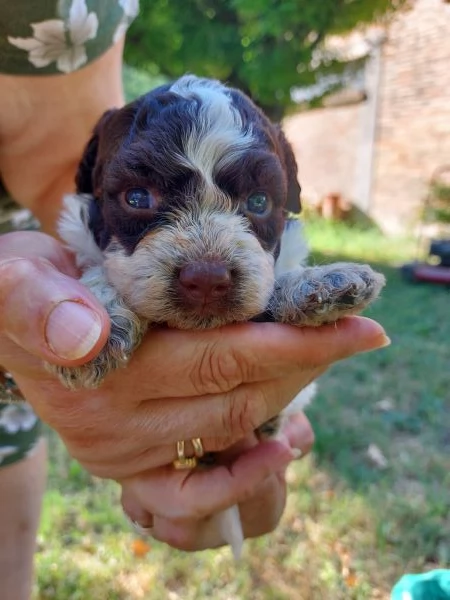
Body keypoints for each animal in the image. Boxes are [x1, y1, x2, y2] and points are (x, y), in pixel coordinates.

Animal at [50, 75, 386, 556]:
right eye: (137, 197)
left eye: (259, 202)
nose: (207, 278)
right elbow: (96, 272)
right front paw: (105, 321)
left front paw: (321, 284)